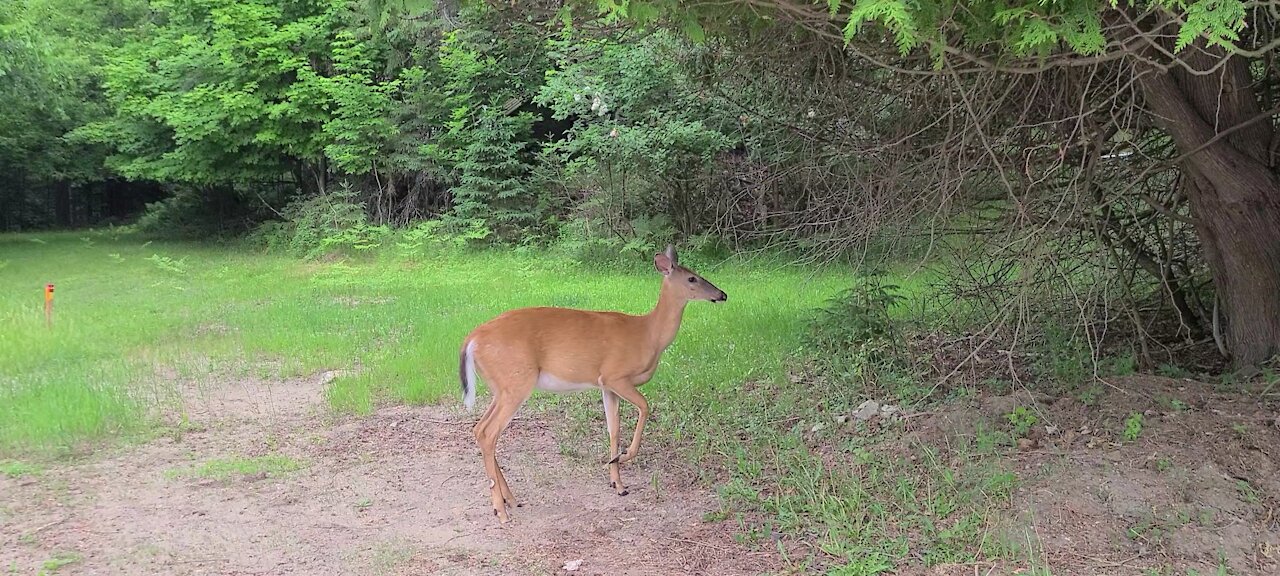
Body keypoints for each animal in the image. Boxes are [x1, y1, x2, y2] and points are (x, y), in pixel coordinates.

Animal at [458, 245, 721, 524]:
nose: (722, 294)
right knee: (489, 433)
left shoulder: (606, 385)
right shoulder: (616, 376)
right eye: (692, 278)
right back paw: (501, 510)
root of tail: (472, 339)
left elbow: (614, 429)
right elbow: (645, 407)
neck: (648, 335)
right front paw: (625, 456)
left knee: (479, 429)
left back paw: (511, 499)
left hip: (500, 386)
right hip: (517, 381)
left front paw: (618, 483)